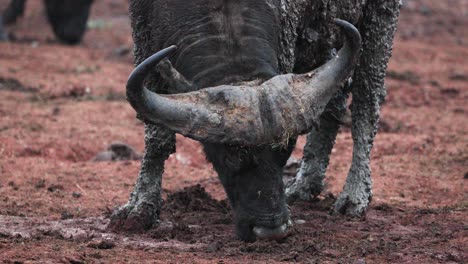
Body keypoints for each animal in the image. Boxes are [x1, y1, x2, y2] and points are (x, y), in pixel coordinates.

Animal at [109, 0, 398, 243]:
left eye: (285, 151)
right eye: (231, 155)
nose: (270, 230)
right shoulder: (144, 41)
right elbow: (156, 139)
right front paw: (139, 209)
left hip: (380, 22)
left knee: (365, 108)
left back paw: (354, 196)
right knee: (332, 106)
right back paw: (304, 185)